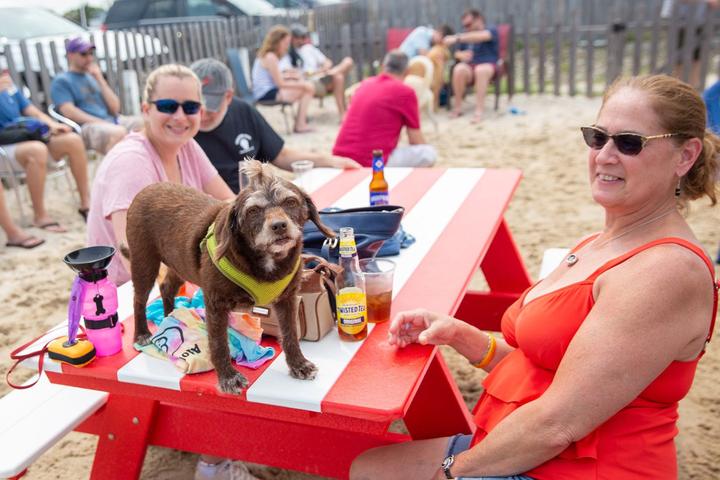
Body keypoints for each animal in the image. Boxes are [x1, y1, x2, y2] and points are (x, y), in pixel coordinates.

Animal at [124, 161, 334, 394]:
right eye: (253, 211)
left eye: (290, 202)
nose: (279, 225)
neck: (265, 260)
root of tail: (147, 189)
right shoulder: (216, 305)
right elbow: (219, 343)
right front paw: (228, 377)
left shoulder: (287, 300)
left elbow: (290, 334)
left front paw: (298, 364)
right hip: (144, 263)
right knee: (139, 299)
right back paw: (142, 333)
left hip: (179, 264)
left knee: (166, 287)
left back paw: (170, 314)